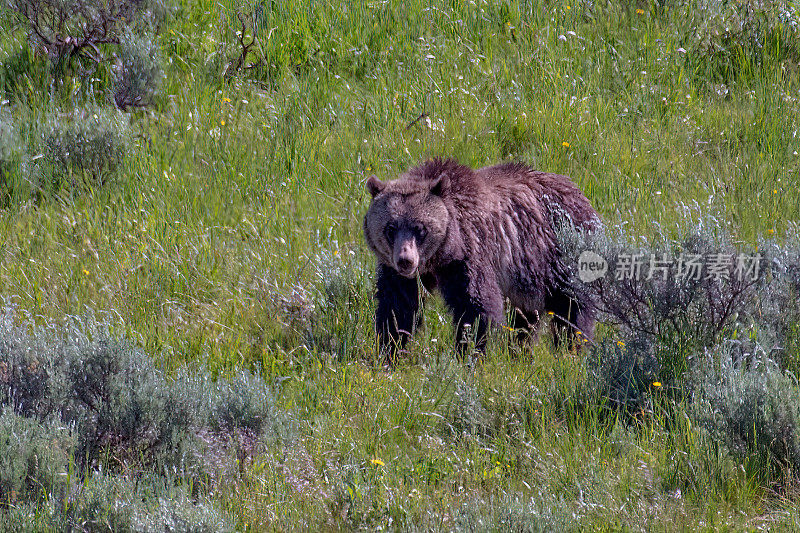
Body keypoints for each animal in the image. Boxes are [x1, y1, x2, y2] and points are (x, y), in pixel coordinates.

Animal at [364, 157, 600, 366]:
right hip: (527, 276)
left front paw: (468, 354)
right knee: (525, 318)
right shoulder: (401, 275)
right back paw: (520, 352)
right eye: (391, 228)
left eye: (420, 228)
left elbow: (476, 307)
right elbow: (397, 307)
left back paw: (570, 349)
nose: (405, 260)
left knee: (571, 308)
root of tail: (578, 191)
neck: (441, 256)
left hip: (560, 254)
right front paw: (390, 351)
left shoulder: (470, 254)